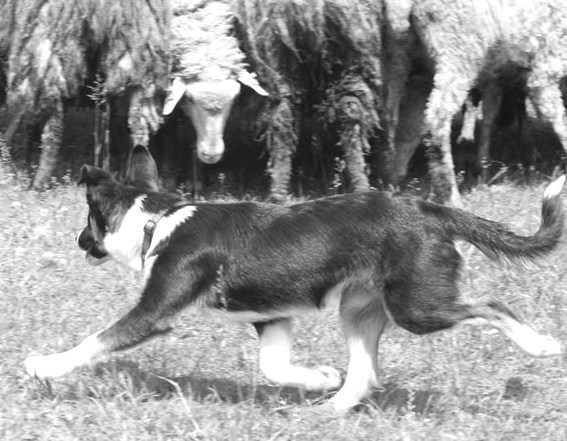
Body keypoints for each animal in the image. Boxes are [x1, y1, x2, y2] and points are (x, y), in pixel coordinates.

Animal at [27, 146, 567, 410]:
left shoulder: (154, 312)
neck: (157, 221)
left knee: (492, 306)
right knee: (363, 373)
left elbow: (95, 341)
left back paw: (540, 345)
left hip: (417, 305)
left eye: (89, 222)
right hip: (360, 308)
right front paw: (316, 378)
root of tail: (429, 209)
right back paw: (325, 409)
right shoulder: (273, 318)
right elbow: (274, 367)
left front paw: (44, 366)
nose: (78, 240)